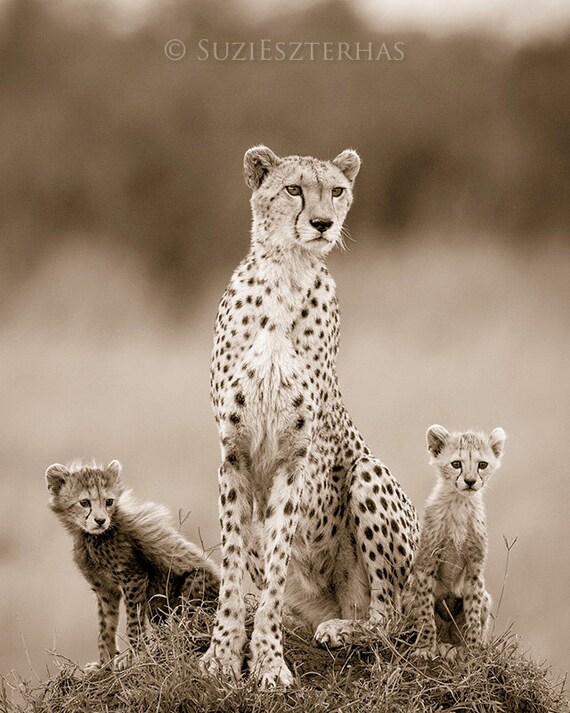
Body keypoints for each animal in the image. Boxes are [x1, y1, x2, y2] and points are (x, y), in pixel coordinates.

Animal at [46, 459, 220, 671]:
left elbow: (133, 622)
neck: (92, 538)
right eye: (84, 502)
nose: (100, 520)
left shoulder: (134, 578)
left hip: (194, 583)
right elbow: (105, 627)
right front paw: (104, 666)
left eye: (109, 502)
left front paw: (135, 657)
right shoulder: (105, 589)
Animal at [200, 145, 419, 687]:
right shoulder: (233, 453)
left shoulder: (293, 458)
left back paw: (343, 631)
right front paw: (222, 656)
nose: (322, 223)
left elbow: (278, 560)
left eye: (337, 191)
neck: (287, 275)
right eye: (294, 189)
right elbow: (233, 564)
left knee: (391, 618)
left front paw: (269, 662)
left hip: (367, 473)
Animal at [402, 424, 506, 660]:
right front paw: (425, 647)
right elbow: (425, 612)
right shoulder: (426, 564)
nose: (470, 481)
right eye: (456, 464)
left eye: (482, 465)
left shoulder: (475, 569)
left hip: (485, 598)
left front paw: (473, 651)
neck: (460, 502)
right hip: (408, 598)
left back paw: (456, 647)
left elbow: (473, 613)